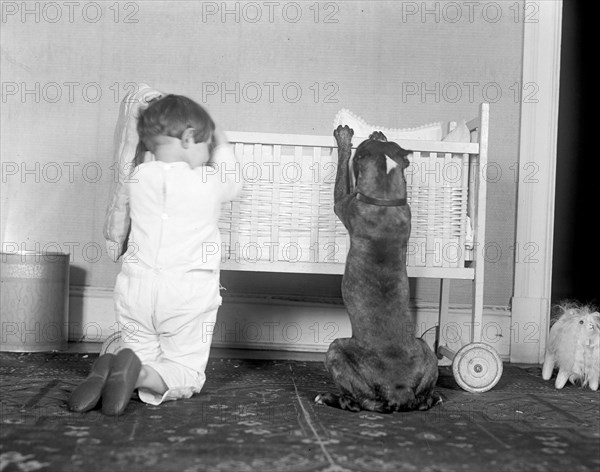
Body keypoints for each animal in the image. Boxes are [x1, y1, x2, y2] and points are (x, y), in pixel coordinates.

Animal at [316, 126, 442, 412]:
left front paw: (344, 139)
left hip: (335, 349)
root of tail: (399, 389)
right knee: (422, 400)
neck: (384, 199)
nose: (377, 133)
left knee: (360, 402)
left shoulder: (343, 202)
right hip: (426, 350)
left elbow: (342, 171)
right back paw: (432, 398)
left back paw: (329, 398)